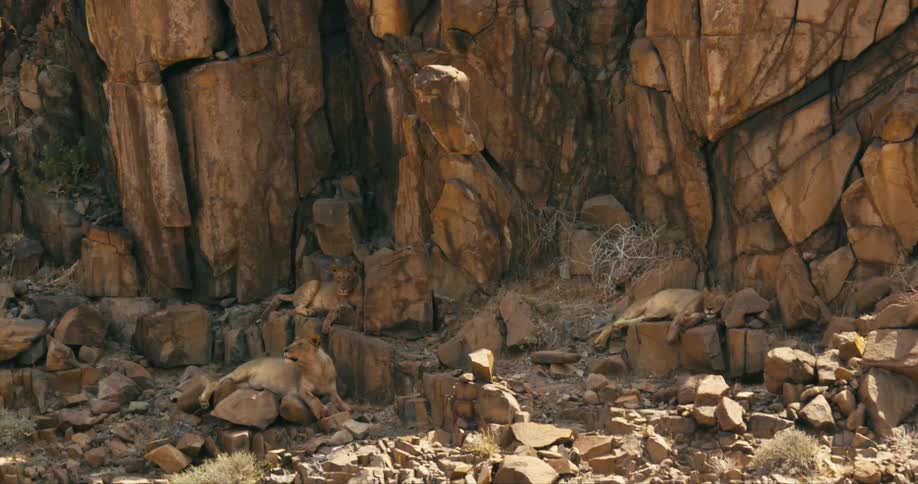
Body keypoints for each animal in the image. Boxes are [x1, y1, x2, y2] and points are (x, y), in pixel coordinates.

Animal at [199, 336, 350, 419]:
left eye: (300, 344)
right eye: (292, 343)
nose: (285, 349)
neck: (316, 369)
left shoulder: (332, 389)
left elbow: (338, 399)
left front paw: (347, 407)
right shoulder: (302, 389)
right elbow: (314, 399)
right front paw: (322, 411)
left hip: (243, 384)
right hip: (240, 372)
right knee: (215, 381)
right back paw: (204, 402)